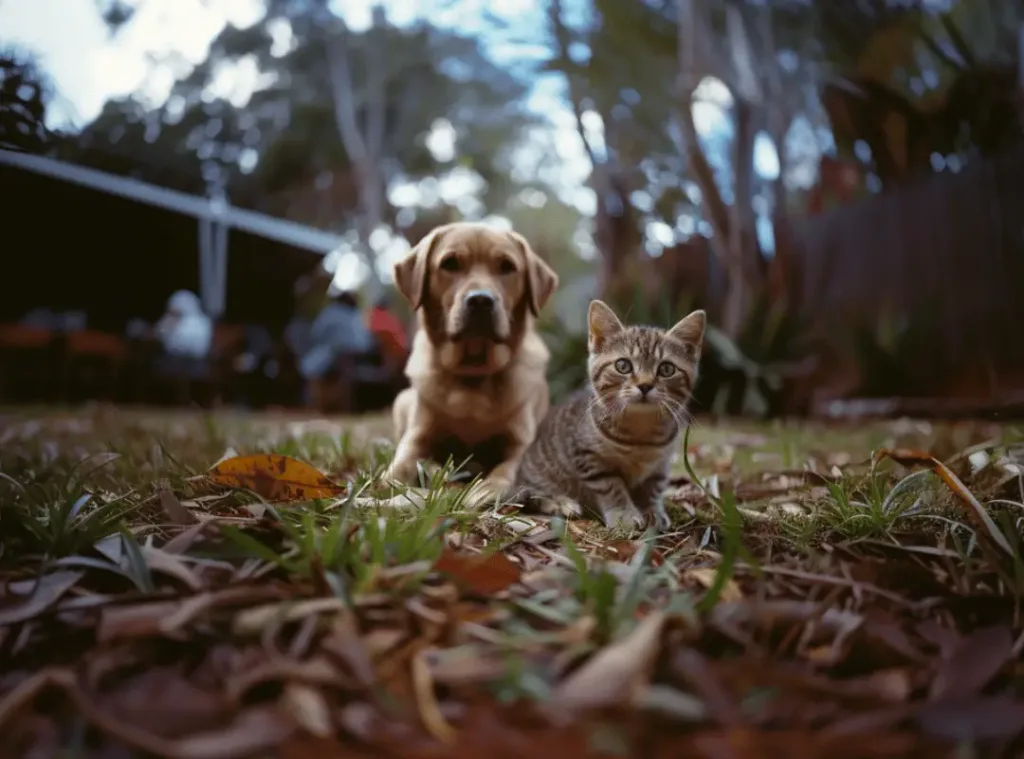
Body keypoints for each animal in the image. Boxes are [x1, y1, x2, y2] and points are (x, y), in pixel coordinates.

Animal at [385, 222, 561, 499]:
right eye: (450, 263)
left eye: (507, 266)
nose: (480, 300)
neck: (473, 371)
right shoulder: (417, 436)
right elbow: (398, 466)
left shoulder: (520, 444)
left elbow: (506, 471)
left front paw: (487, 489)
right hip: (402, 402)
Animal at [509, 299, 704, 528]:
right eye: (623, 365)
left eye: (666, 369)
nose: (645, 385)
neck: (641, 432)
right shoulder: (588, 456)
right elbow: (611, 486)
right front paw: (624, 515)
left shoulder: (661, 463)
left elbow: (653, 488)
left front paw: (653, 511)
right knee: (531, 494)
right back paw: (560, 503)